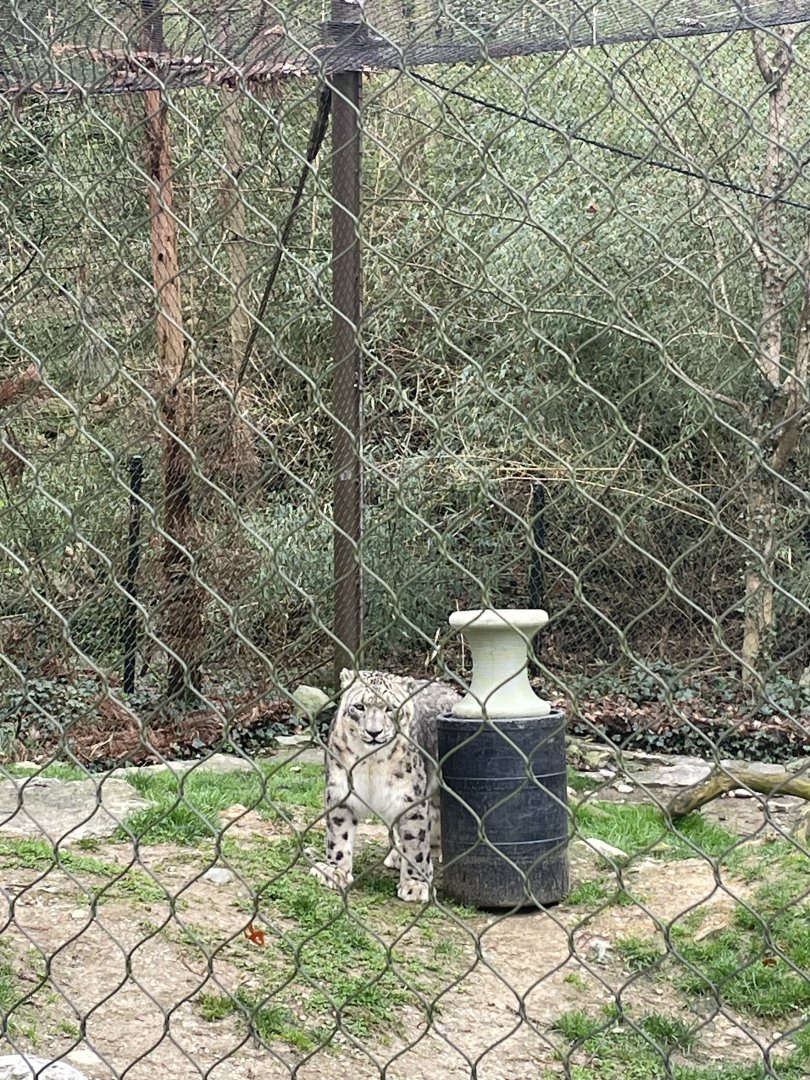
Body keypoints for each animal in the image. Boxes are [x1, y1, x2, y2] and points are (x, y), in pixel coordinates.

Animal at [309, 668, 460, 902]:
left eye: (391, 709)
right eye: (359, 706)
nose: (374, 732)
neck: (371, 763)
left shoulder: (409, 798)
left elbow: (416, 841)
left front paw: (415, 885)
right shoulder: (340, 791)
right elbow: (339, 833)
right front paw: (335, 871)